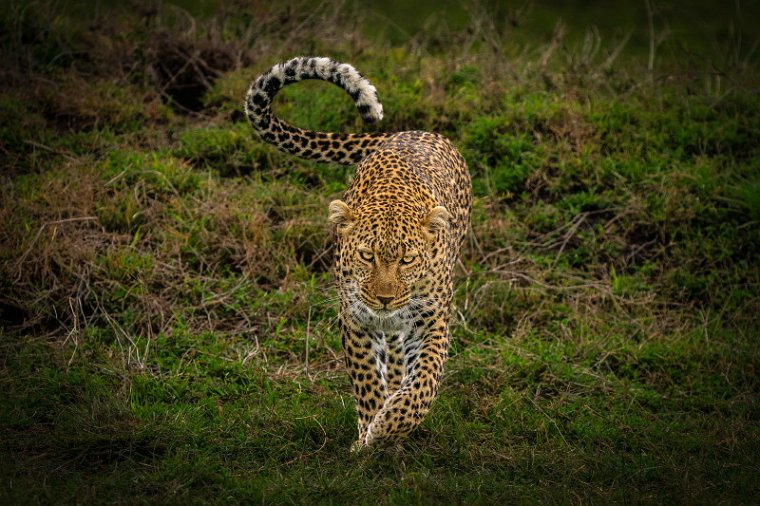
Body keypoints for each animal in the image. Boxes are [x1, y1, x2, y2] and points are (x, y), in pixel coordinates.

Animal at [245, 56, 470, 450]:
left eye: (407, 260)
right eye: (367, 256)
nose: (384, 298)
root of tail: (412, 132)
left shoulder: (434, 319)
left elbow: (424, 382)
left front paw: (390, 425)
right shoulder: (354, 318)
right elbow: (366, 379)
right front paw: (369, 432)